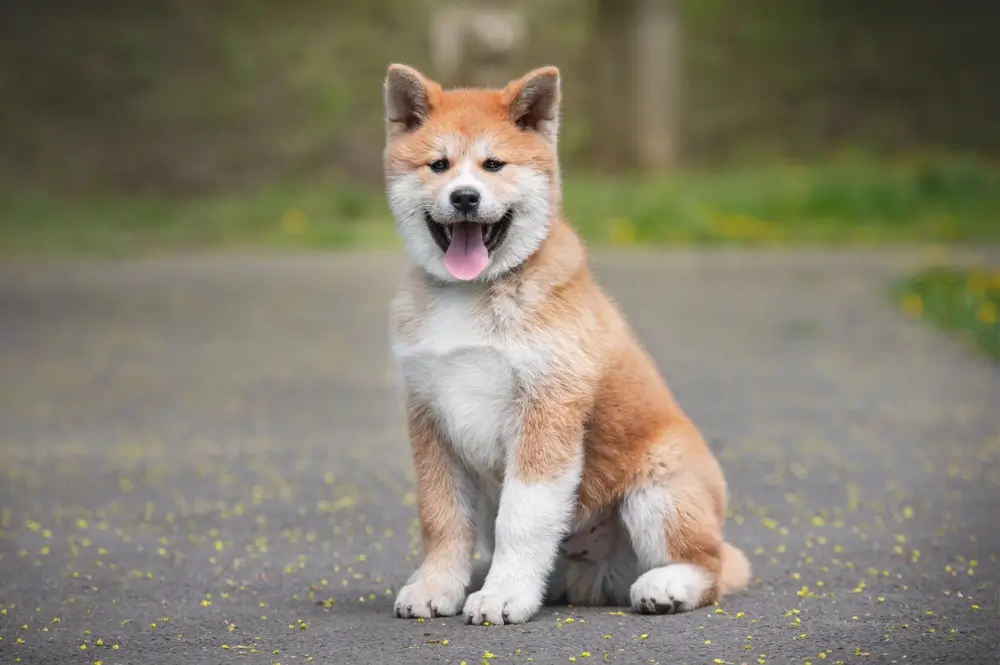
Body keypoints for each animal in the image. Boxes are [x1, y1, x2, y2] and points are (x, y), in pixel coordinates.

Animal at [382, 62, 752, 624]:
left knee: (712, 564)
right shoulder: (430, 419)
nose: (465, 197)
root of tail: (592, 581)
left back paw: (667, 586)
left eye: (493, 164)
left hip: (659, 494)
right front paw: (436, 586)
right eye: (438, 165)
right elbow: (441, 518)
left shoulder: (547, 407)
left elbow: (522, 517)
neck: (475, 293)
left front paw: (503, 595)